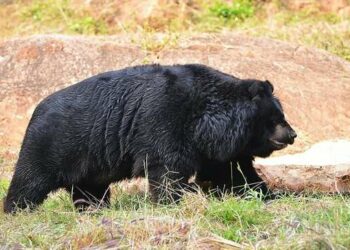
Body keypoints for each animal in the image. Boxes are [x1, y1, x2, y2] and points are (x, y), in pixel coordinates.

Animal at [4, 64, 296, 213]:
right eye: (276, 119)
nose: (292, 135)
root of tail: (36, 111)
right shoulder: (165, 120)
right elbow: (167, 167)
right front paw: (170, 203)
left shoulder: (218, 148)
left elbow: (235, 173)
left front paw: (266, 195)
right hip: (52, 144)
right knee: (30, 180)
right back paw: (17, 211)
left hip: (89, 159)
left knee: (89, 189)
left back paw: (94, 210)